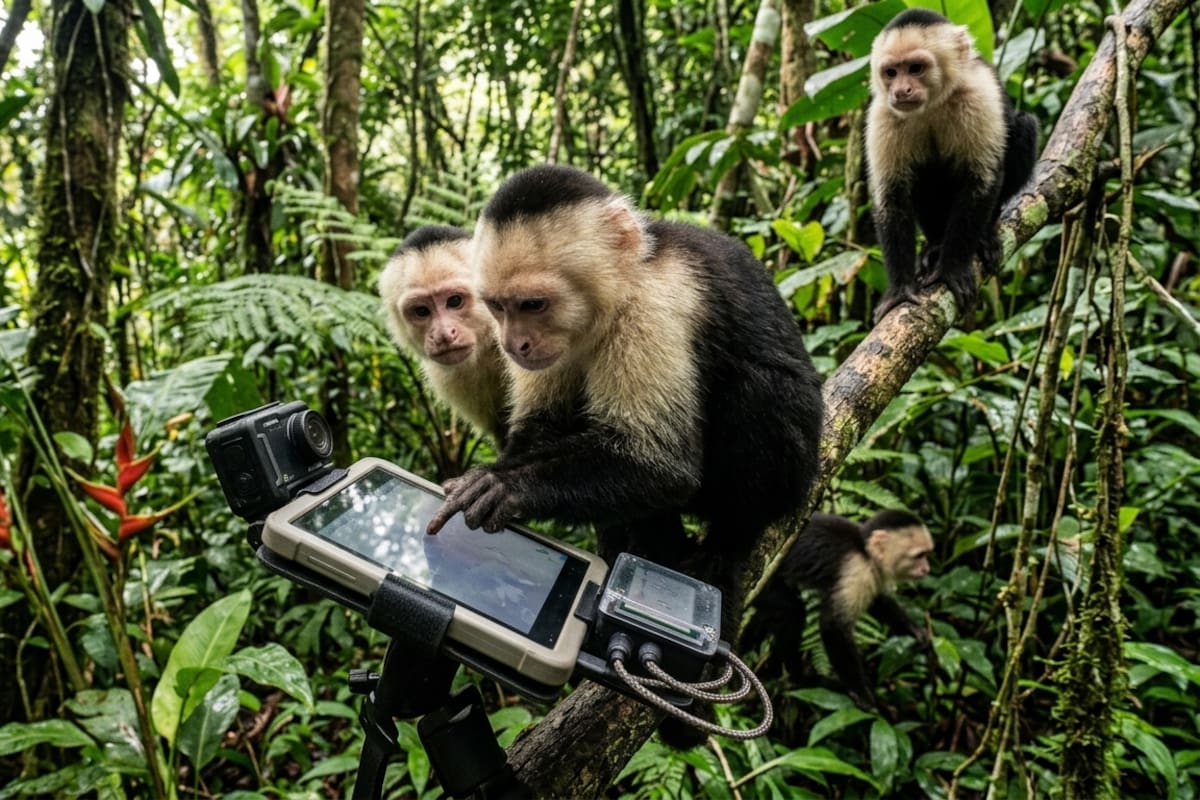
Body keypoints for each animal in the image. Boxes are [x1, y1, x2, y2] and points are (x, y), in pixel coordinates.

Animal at [426, 163, 825, 641]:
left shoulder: (653, 309)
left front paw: (506, 487)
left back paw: (728, 543)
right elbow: (543, 425)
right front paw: (490, 473)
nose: (512, 345)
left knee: (760, 389)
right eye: (498, 307)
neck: (619, 291)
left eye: (533, 304)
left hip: (796, 472)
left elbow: (660, 463)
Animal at [745, 509, 934, 711]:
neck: (865, 551)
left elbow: (878, 602)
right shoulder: (857, 571)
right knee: (792, 612)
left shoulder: (872, 574)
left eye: (927, 554)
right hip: (760, 584)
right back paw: (801, 677)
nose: (926, 569)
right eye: (919, 555)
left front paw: (915, 631)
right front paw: (861, 695)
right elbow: (833, 626)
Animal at [866, 8, 1039, 323]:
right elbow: (892, 196)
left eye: (916, 68)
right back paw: (935, 244)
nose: (901, 90)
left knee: (1024, 125)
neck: (932, 105)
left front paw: (951, 270)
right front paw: (900, 289)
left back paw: (985, 236)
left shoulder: (978, 94)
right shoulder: (884, 114)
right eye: (891, 72)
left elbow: (981, 179)